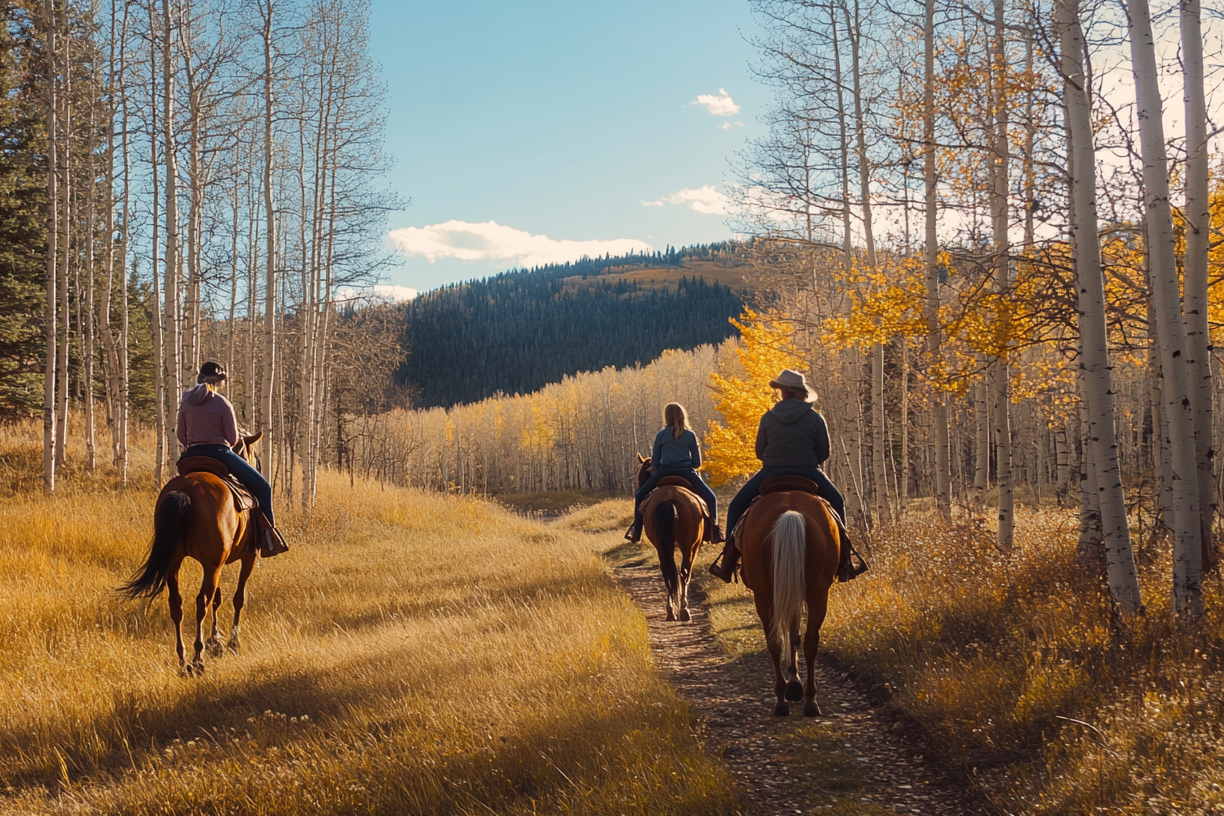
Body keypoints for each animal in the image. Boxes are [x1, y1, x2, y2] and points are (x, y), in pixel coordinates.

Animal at [121, 433, 265, 675]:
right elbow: (238, 598)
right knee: (201, 603)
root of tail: (186, 491)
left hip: (176, 563)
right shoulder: (246, 557)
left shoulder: (217, 563)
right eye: (252, 453)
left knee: (176, 604)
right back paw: (197, 659)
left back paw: (182, 657)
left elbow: (218, 599)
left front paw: (216, 641)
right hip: (211, 565)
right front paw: (232, 642)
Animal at [631, 457, 709, 621]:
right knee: (683, 572)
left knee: (667, 572)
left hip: (662, 546)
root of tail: (669, 500)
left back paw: (671, 611)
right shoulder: (695, 546)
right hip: (688, 546)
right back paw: (684, 610)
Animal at [734, 484, 842, 714]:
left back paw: (783, 700)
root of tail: (790, 512)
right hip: (817, 592)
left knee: (776, 641)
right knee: (808, 641)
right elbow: (794, 633)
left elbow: (792, 633)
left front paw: (793, 682)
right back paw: (807, 700)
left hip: (765, 594)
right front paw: (795, 682)